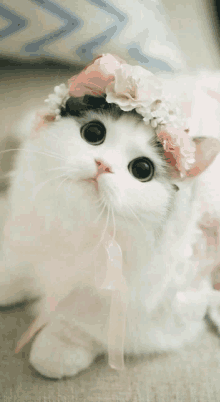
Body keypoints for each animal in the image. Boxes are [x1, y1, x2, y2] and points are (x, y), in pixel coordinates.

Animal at [1, 58, 220, 378]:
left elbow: (82, 323)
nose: (102, 165)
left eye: (142, 170)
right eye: (93, 133)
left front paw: (56, 350)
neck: (78, 230)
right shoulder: (29, 232)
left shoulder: (150, 312)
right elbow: (16, 264)